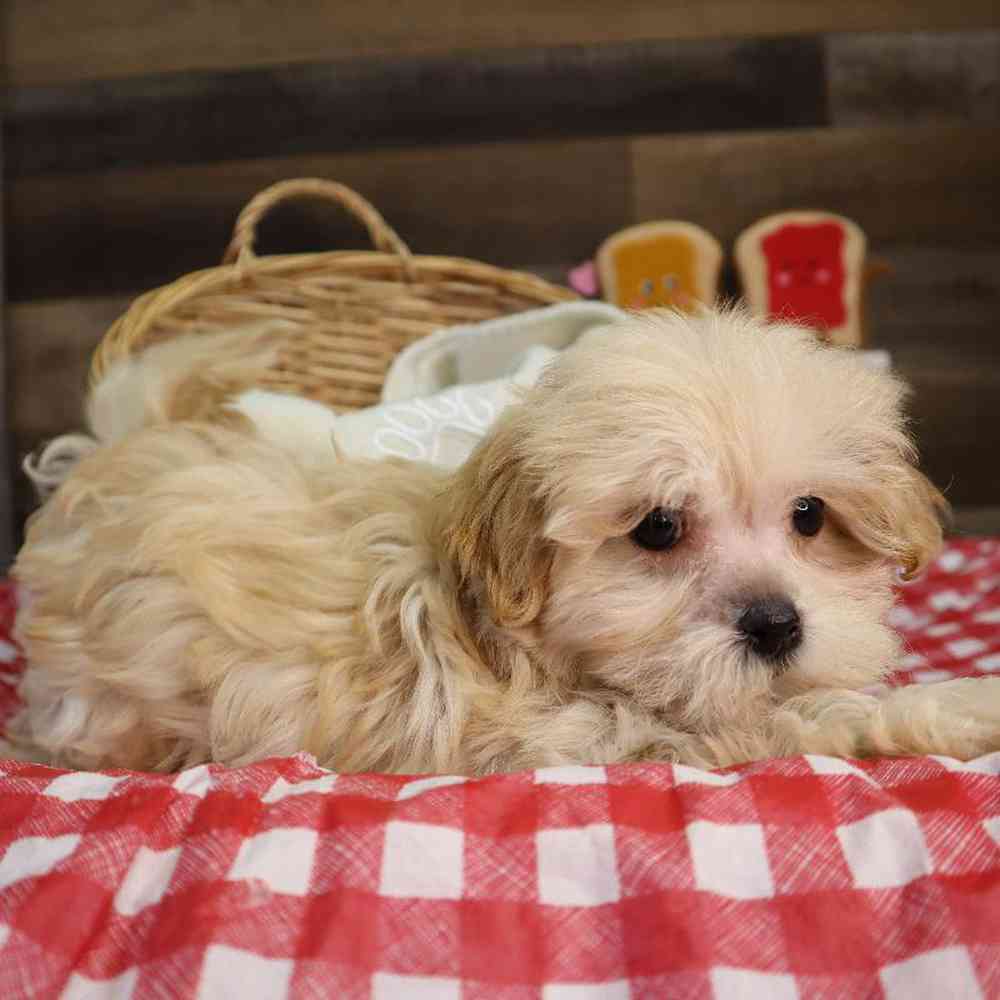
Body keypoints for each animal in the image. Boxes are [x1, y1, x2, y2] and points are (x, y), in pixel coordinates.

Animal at [9, 312, 1000, 772]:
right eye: (659, 527)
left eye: (809, 517)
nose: (775, 625)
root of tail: (105, 471)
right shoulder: (592, 736)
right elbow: (811, 716)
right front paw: (961, 707)